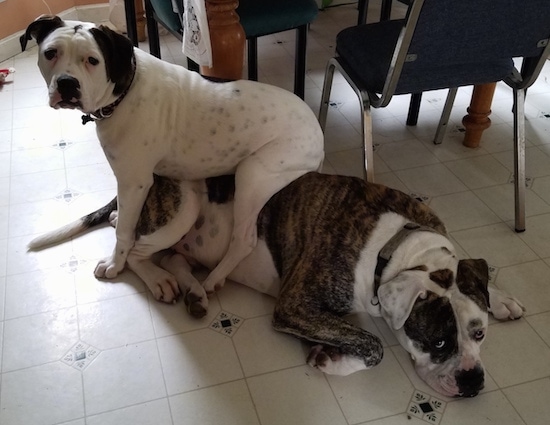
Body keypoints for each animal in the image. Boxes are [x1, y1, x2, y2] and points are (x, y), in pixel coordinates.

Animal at [29, 171, 528, 396]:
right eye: (438, 343)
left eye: (479, 334)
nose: (474, 382)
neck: (398, 244)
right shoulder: (295, 305)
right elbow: (373, 345)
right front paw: (331, 360)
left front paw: (502, 298)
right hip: (182, 204)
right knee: (127, 247)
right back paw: (157, 282)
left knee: (171, 256)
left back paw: (195, 290)